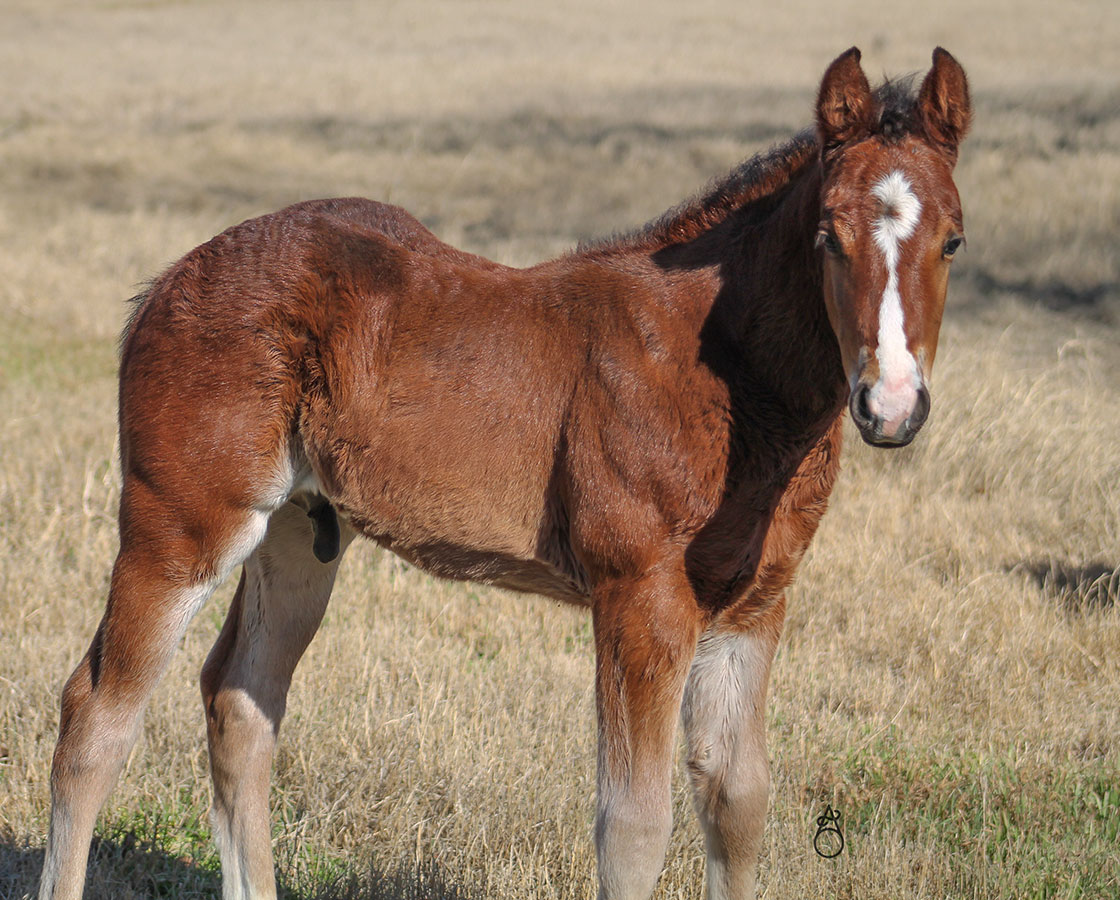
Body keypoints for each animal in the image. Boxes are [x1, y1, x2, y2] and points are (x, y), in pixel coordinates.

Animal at [41, 49, 972, 900]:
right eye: (827, 238)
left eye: (954, 240)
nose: (890, 404)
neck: (721, 375)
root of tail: (168, 282)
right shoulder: (640, 599)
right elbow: (634, 826)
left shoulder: (755, 607)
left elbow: (737, 805)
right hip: (185, 526)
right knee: (96, 719)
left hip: (298, 534)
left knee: (241, 701)